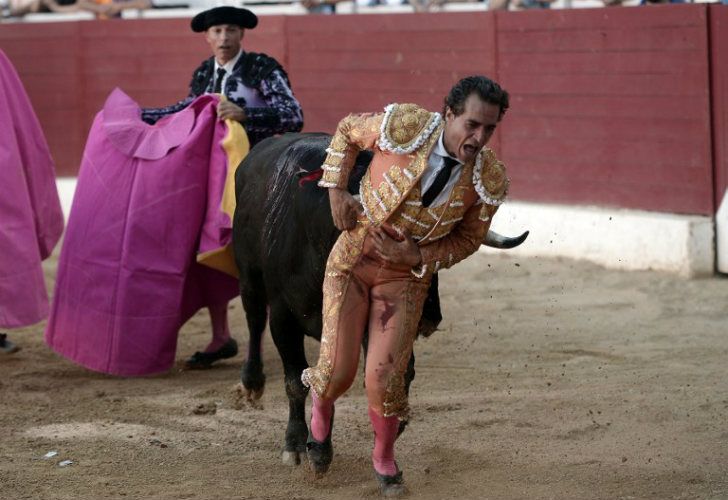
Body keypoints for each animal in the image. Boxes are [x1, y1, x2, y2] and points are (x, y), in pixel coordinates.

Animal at [230, 132, 528, 464]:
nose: (429, 319)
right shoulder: (284, 317)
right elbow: (296, 381)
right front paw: (295, 445)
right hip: (249, 276)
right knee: (255, 318)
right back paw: (251, 383)